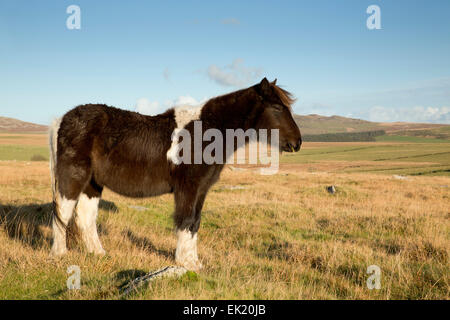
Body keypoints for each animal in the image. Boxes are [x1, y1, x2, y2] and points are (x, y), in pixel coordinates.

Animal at [49, 77, 302, 270]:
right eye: (277, 108)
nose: (297, 143)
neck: (206, 132)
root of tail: (61, 119)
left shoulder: (201, 190)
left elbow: (195, 222)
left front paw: (195, 263)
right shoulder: (188, 188)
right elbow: (186, 220)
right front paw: (185, 263)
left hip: (92, 183)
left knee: (85, 216)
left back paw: (98, 253)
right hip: (73, 178)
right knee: (63, 213)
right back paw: (60, 254)